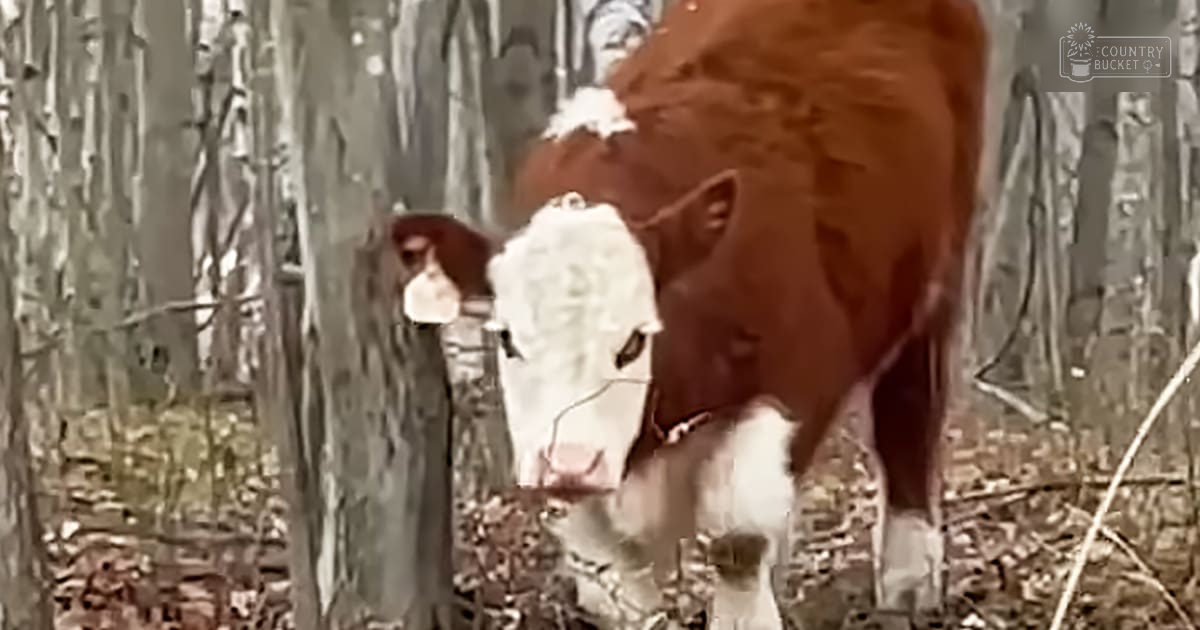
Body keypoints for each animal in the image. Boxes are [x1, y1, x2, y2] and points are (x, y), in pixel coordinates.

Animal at [391, 0, 987, 627]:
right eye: (508, 340)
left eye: (633, 341)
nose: (570, 463)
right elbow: (610, 582)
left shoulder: (801, 373)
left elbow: (738, 536)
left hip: (936, 275)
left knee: (909, 416)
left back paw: (908, 582)